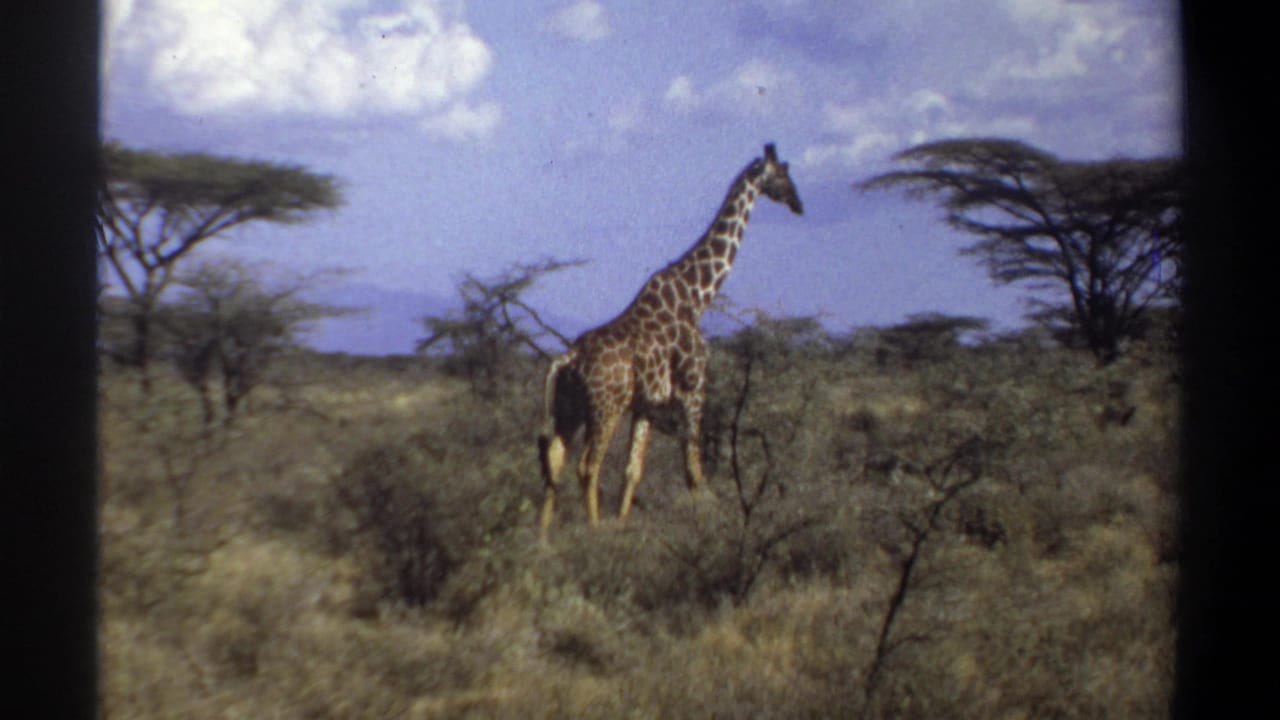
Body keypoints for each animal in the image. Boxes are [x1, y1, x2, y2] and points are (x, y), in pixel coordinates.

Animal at [537, 143, 803, 538]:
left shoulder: (648, 405)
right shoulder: (693, 389)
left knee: (554, 460)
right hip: (606, 406)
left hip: (570, 408)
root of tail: (568, 358)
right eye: (784, 173)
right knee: (587, 466)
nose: (798, 203)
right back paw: (594, 531)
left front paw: (625, 526)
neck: (696, 296)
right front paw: (704, 529)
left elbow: (633, 472)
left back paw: (541, 539)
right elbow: (693, 471)